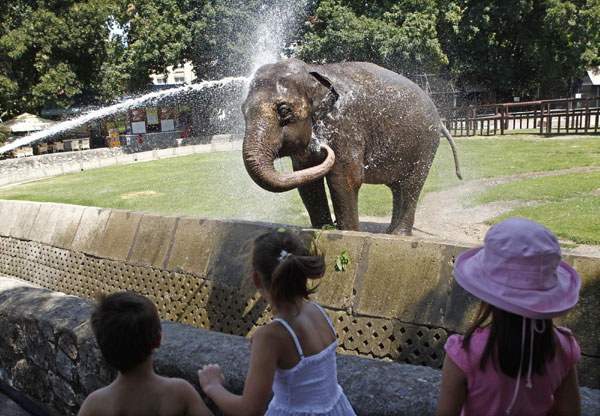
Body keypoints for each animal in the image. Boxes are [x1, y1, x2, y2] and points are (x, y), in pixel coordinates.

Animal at [241, 57, 462, 234]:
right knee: (398, 187)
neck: (313, 71)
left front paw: (349, 234)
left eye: (284, 111)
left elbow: (345, 177)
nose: (323, 148)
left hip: (425, 145)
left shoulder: (346, 123)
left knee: (411, 186)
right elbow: (307, 181)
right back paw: (388, 232)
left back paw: (397, 235)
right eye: (243, 111)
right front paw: (324, 229)